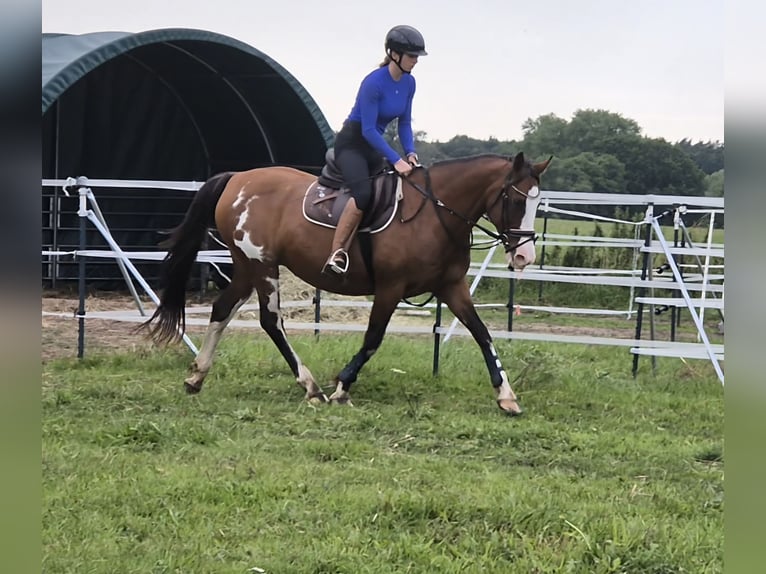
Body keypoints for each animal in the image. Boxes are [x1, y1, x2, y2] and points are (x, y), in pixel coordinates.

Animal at [141, 152, 551, 415]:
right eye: (516, 201)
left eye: (536, 202)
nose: (524, 257)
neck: (434, 214)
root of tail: (238, 178)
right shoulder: (390, 288)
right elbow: (372, 339)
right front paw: (342, 387)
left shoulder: (452, 287)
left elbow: (482, 334)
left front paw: (507, 396)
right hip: (263, 267)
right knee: (271, 322)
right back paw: (310, 387)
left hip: (246, 267)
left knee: (222, 310)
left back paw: (197, 376)